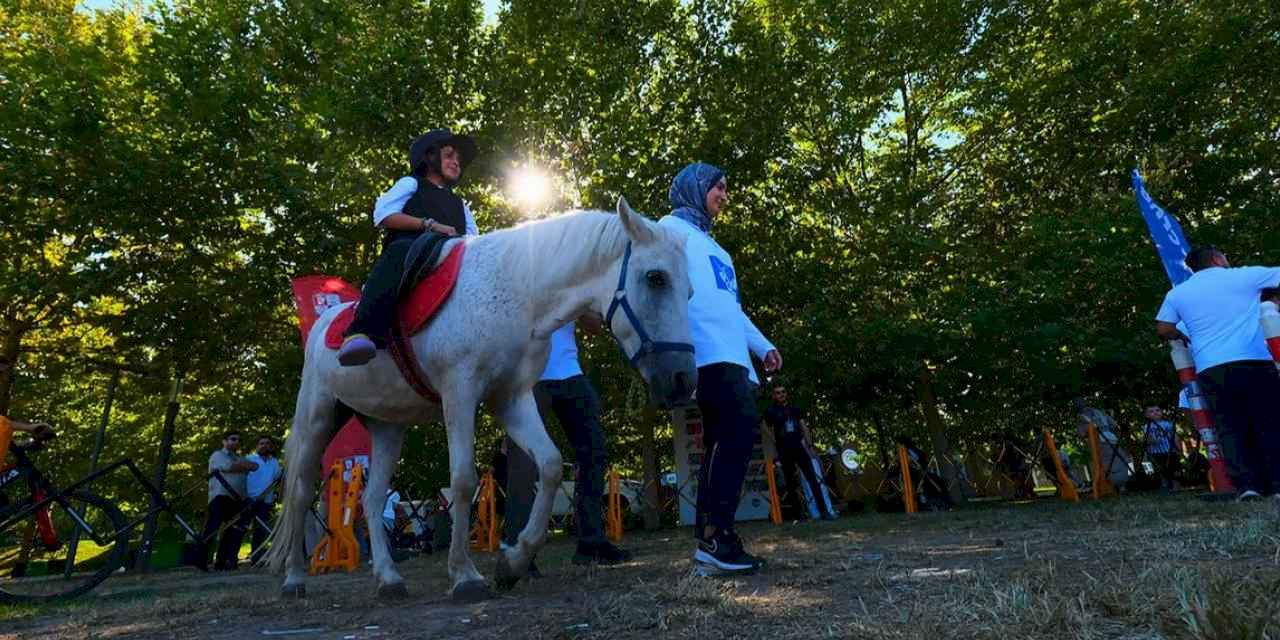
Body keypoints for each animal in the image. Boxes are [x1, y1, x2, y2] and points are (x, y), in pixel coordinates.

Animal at [265, 199, 696, 602]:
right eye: (655, 278)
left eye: (689, 290)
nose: (683, 379)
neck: (516, 293)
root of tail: (326, 320)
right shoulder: (460, 392)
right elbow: (462, 480)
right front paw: (465, 575)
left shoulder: (512, 399)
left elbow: (551, 466)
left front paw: (514, 561)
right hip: (320, 416)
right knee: (301, 492)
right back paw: (294, 580)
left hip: (387, 426)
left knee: (371, 500)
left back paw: (388, 579)